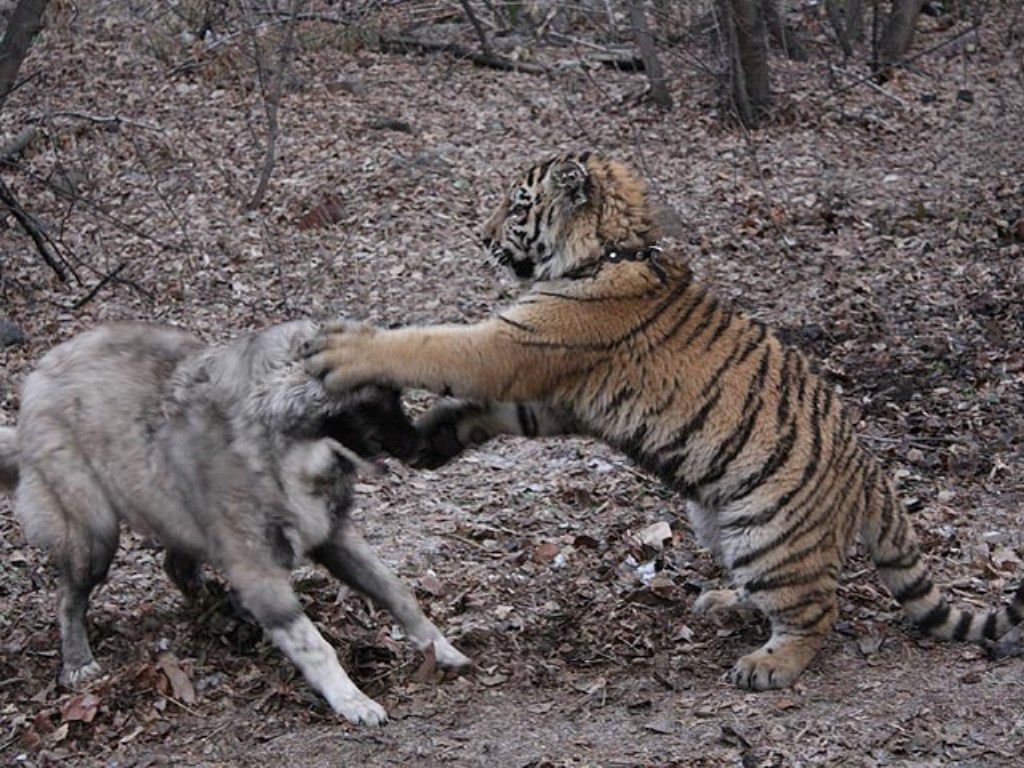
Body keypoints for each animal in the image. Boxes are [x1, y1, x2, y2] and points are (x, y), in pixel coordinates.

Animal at [303, 150, 1024, 692]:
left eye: (516, 204)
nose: (480, 238)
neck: (606, 251)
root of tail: (871, 472)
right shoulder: (549, 389)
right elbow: (476, 409)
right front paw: (427, 438)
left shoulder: (515, 346)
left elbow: (432, 344)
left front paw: (341, 347)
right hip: (718, 518)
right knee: (775, 592)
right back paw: (724, 602)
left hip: (769, 532)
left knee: (819, 611)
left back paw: (767, 666)